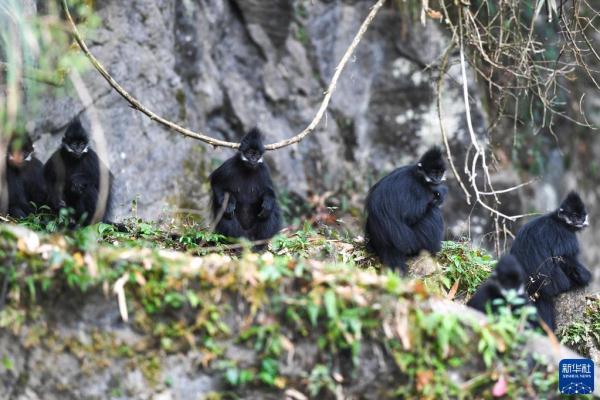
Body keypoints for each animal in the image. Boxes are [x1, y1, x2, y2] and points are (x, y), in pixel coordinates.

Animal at [364, 145, 448, 274]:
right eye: (433, 173)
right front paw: (439, 191)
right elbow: (410, 216)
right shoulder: (417, 188)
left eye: (439, 173)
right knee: (434, 212)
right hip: (414, 242)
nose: (437, 179)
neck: (418, 176)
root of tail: (386, 245)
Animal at [510, 192, 592, 330]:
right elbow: (563, 257)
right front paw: (586, 278)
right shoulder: (565, 234)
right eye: (574, 216)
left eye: (581, 216)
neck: (558, 220)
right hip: (557, 284)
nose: (579, 221)